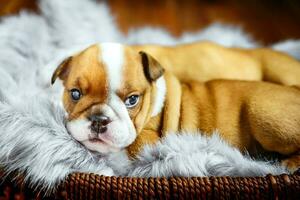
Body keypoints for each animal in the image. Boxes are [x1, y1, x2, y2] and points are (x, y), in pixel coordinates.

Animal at [51, 43, 300, 170]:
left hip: (263, 114)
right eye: (75, 94)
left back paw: (288, 164)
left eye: (132, 100)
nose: (99, 120)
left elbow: (128, 149)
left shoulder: (147, 140)